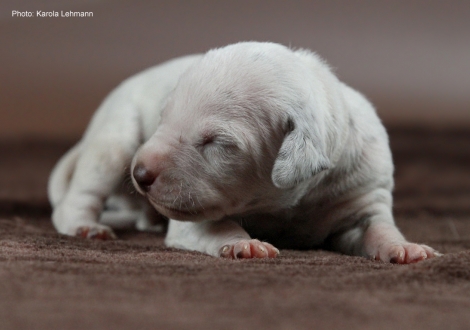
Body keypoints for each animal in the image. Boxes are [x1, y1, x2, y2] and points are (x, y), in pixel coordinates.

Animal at [48, 41, 440, 262]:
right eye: (163, 115)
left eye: (217, 143)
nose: (140, 174)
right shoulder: (194, 216)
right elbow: (217, 225)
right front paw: (244, 244)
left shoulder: (363, 195)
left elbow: (377, 228)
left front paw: (406, 248)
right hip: (114, 141)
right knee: (80, 194)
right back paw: (85, 226)